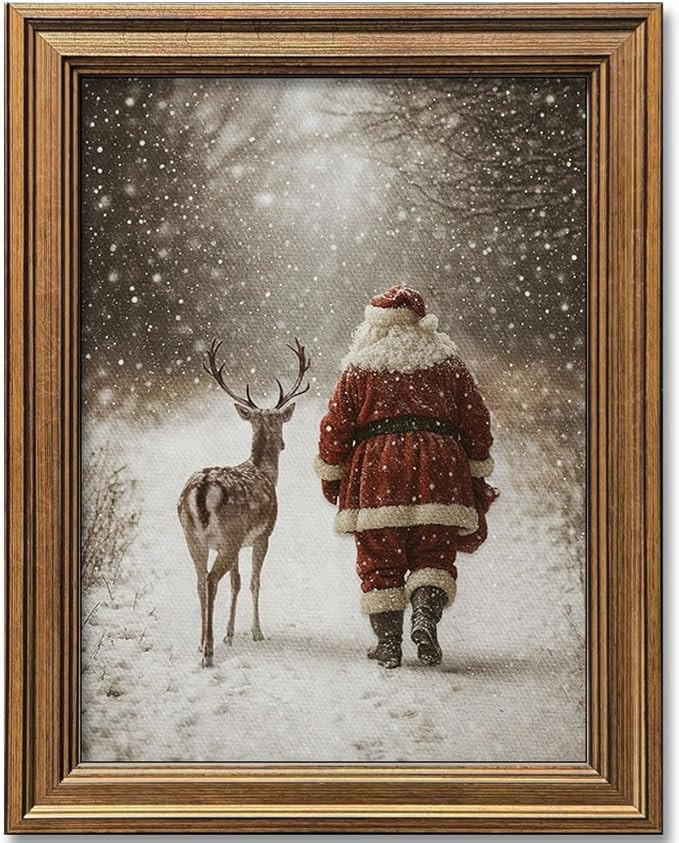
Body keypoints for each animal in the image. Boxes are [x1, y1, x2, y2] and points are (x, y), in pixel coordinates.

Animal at [177, 337, 310, 667]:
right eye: (279, 422)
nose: (283, 443)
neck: (263, 471)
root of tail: (201, 490)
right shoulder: (262, 535)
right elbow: (253, 582)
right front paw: (256, 632)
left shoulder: (239, 544)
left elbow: (236, 582)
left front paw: (229, 634)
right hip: (230, 535)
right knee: (211, 580)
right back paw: (208, 653)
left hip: (195, 537)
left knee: (200, 581)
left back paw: (201, 643)